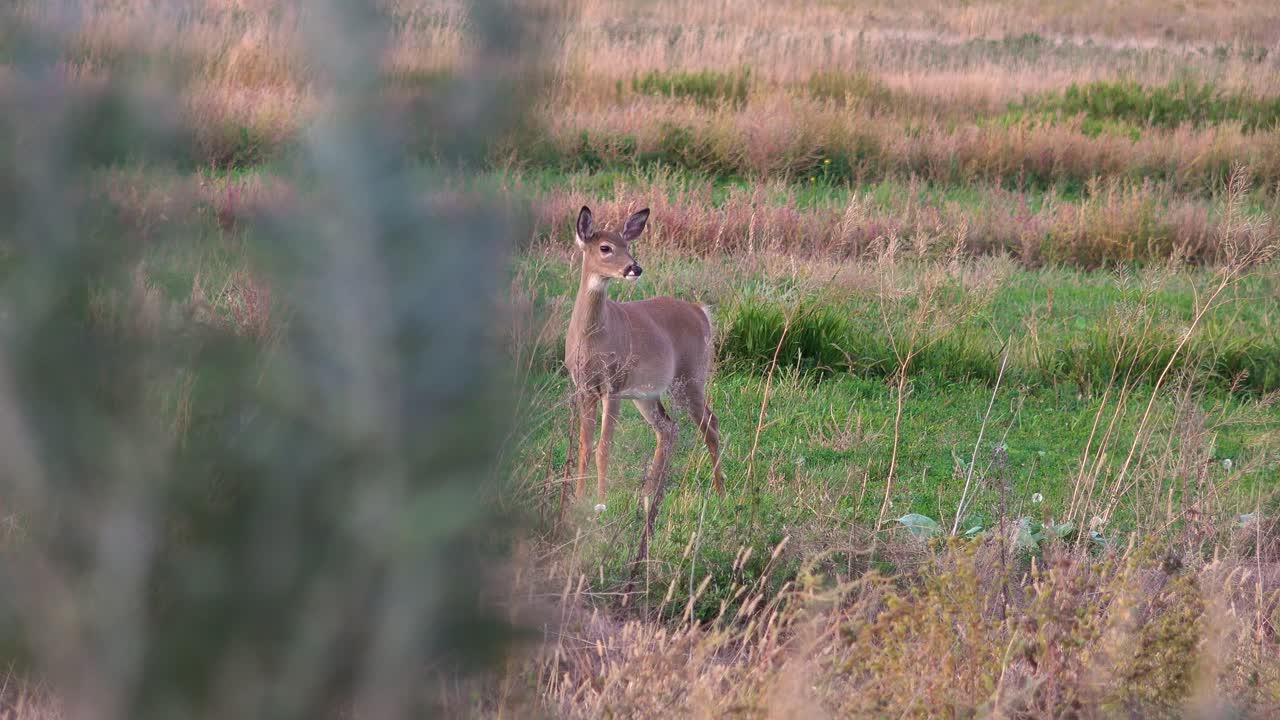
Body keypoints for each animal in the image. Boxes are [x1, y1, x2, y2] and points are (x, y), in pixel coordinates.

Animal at [565, 205, 725, 538]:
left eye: (628, 245)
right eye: (605, 247)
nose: (634, 268)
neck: (591, 340)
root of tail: (701, 311)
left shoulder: (613, 385)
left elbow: (603, 447)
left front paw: (600, 504)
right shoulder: (584, 387)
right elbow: (585, 446)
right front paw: (578, 499)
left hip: (691, 376)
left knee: (710, 423)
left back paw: (720, 492)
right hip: (647, 394)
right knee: (668, 427)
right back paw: (651, 491)